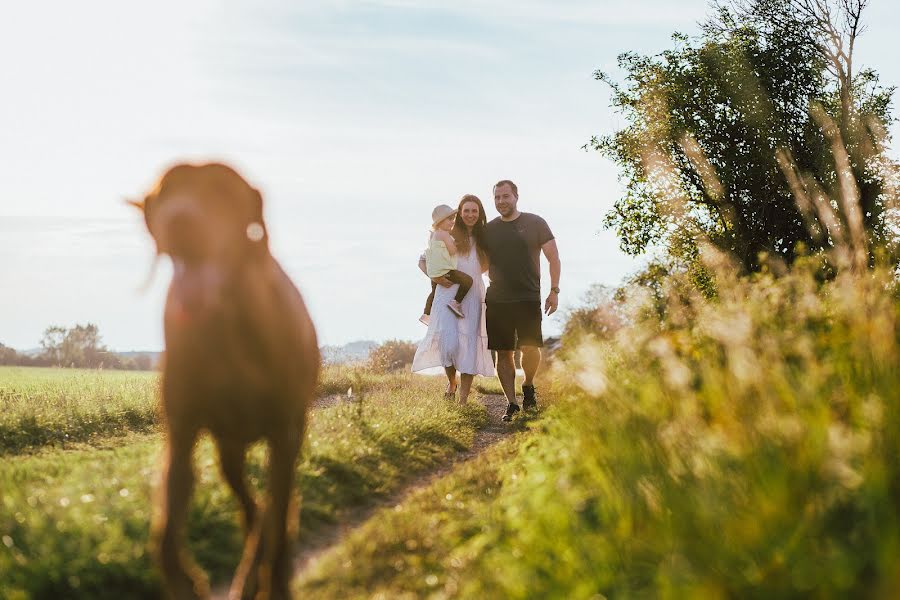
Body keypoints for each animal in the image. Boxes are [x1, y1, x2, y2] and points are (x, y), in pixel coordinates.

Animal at [132, 163, 318, 600]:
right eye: (166, 191)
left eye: (222, 190)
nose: (179, 220)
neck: (223, 325)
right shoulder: (181, 434)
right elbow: (165, 537)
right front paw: (187, 583)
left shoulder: (284, 432)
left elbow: (277, 519)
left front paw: (275, 581)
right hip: (228, 450)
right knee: (254, 508)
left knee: (273, 510)